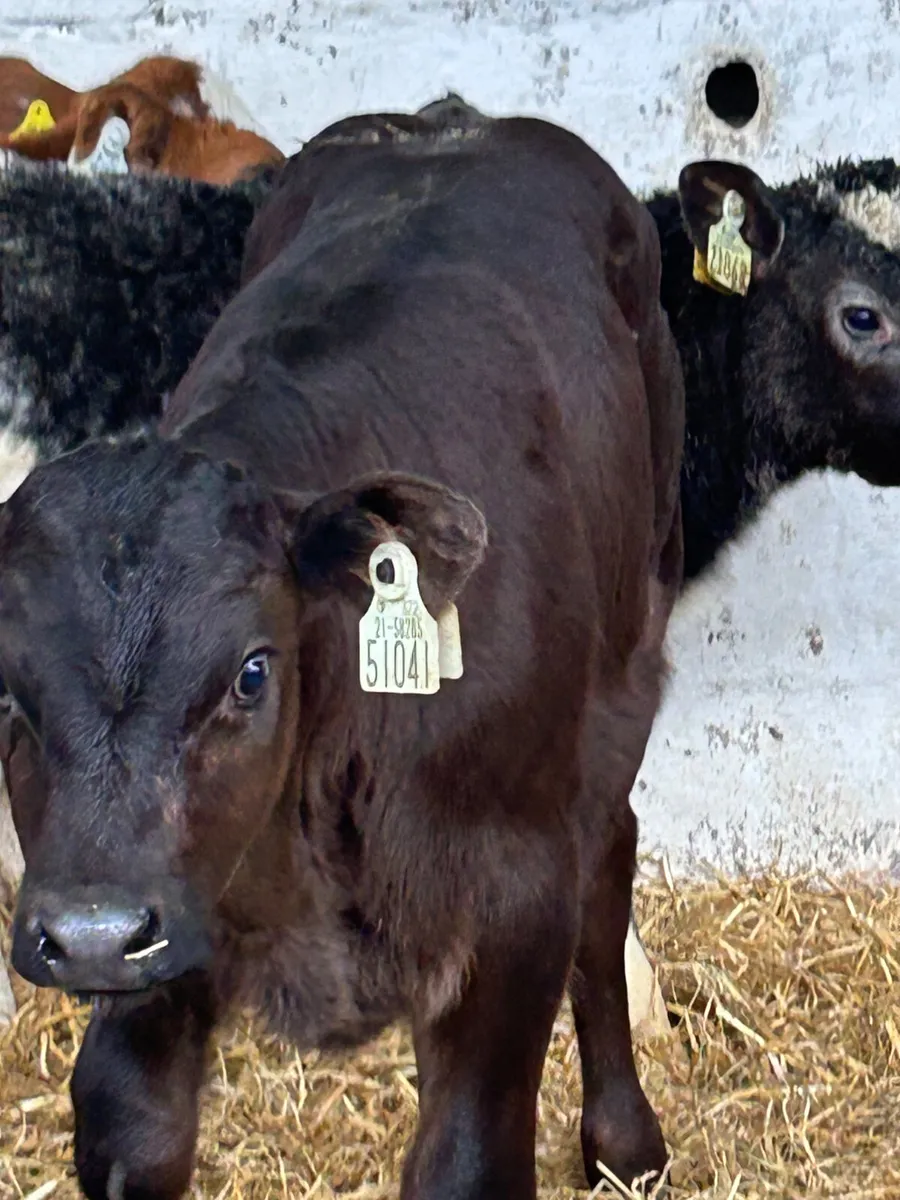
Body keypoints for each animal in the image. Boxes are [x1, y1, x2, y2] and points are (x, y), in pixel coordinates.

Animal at [1, 112, 685, 1198]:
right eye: (7, 694)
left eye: (251, 671)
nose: (92, 934)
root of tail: (458, 120)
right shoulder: (166, 897)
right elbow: (131, 1126)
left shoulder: (515, 901)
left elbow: (465, 1159)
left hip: (630, 656)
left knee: (609, 863)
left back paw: (623, 1139)